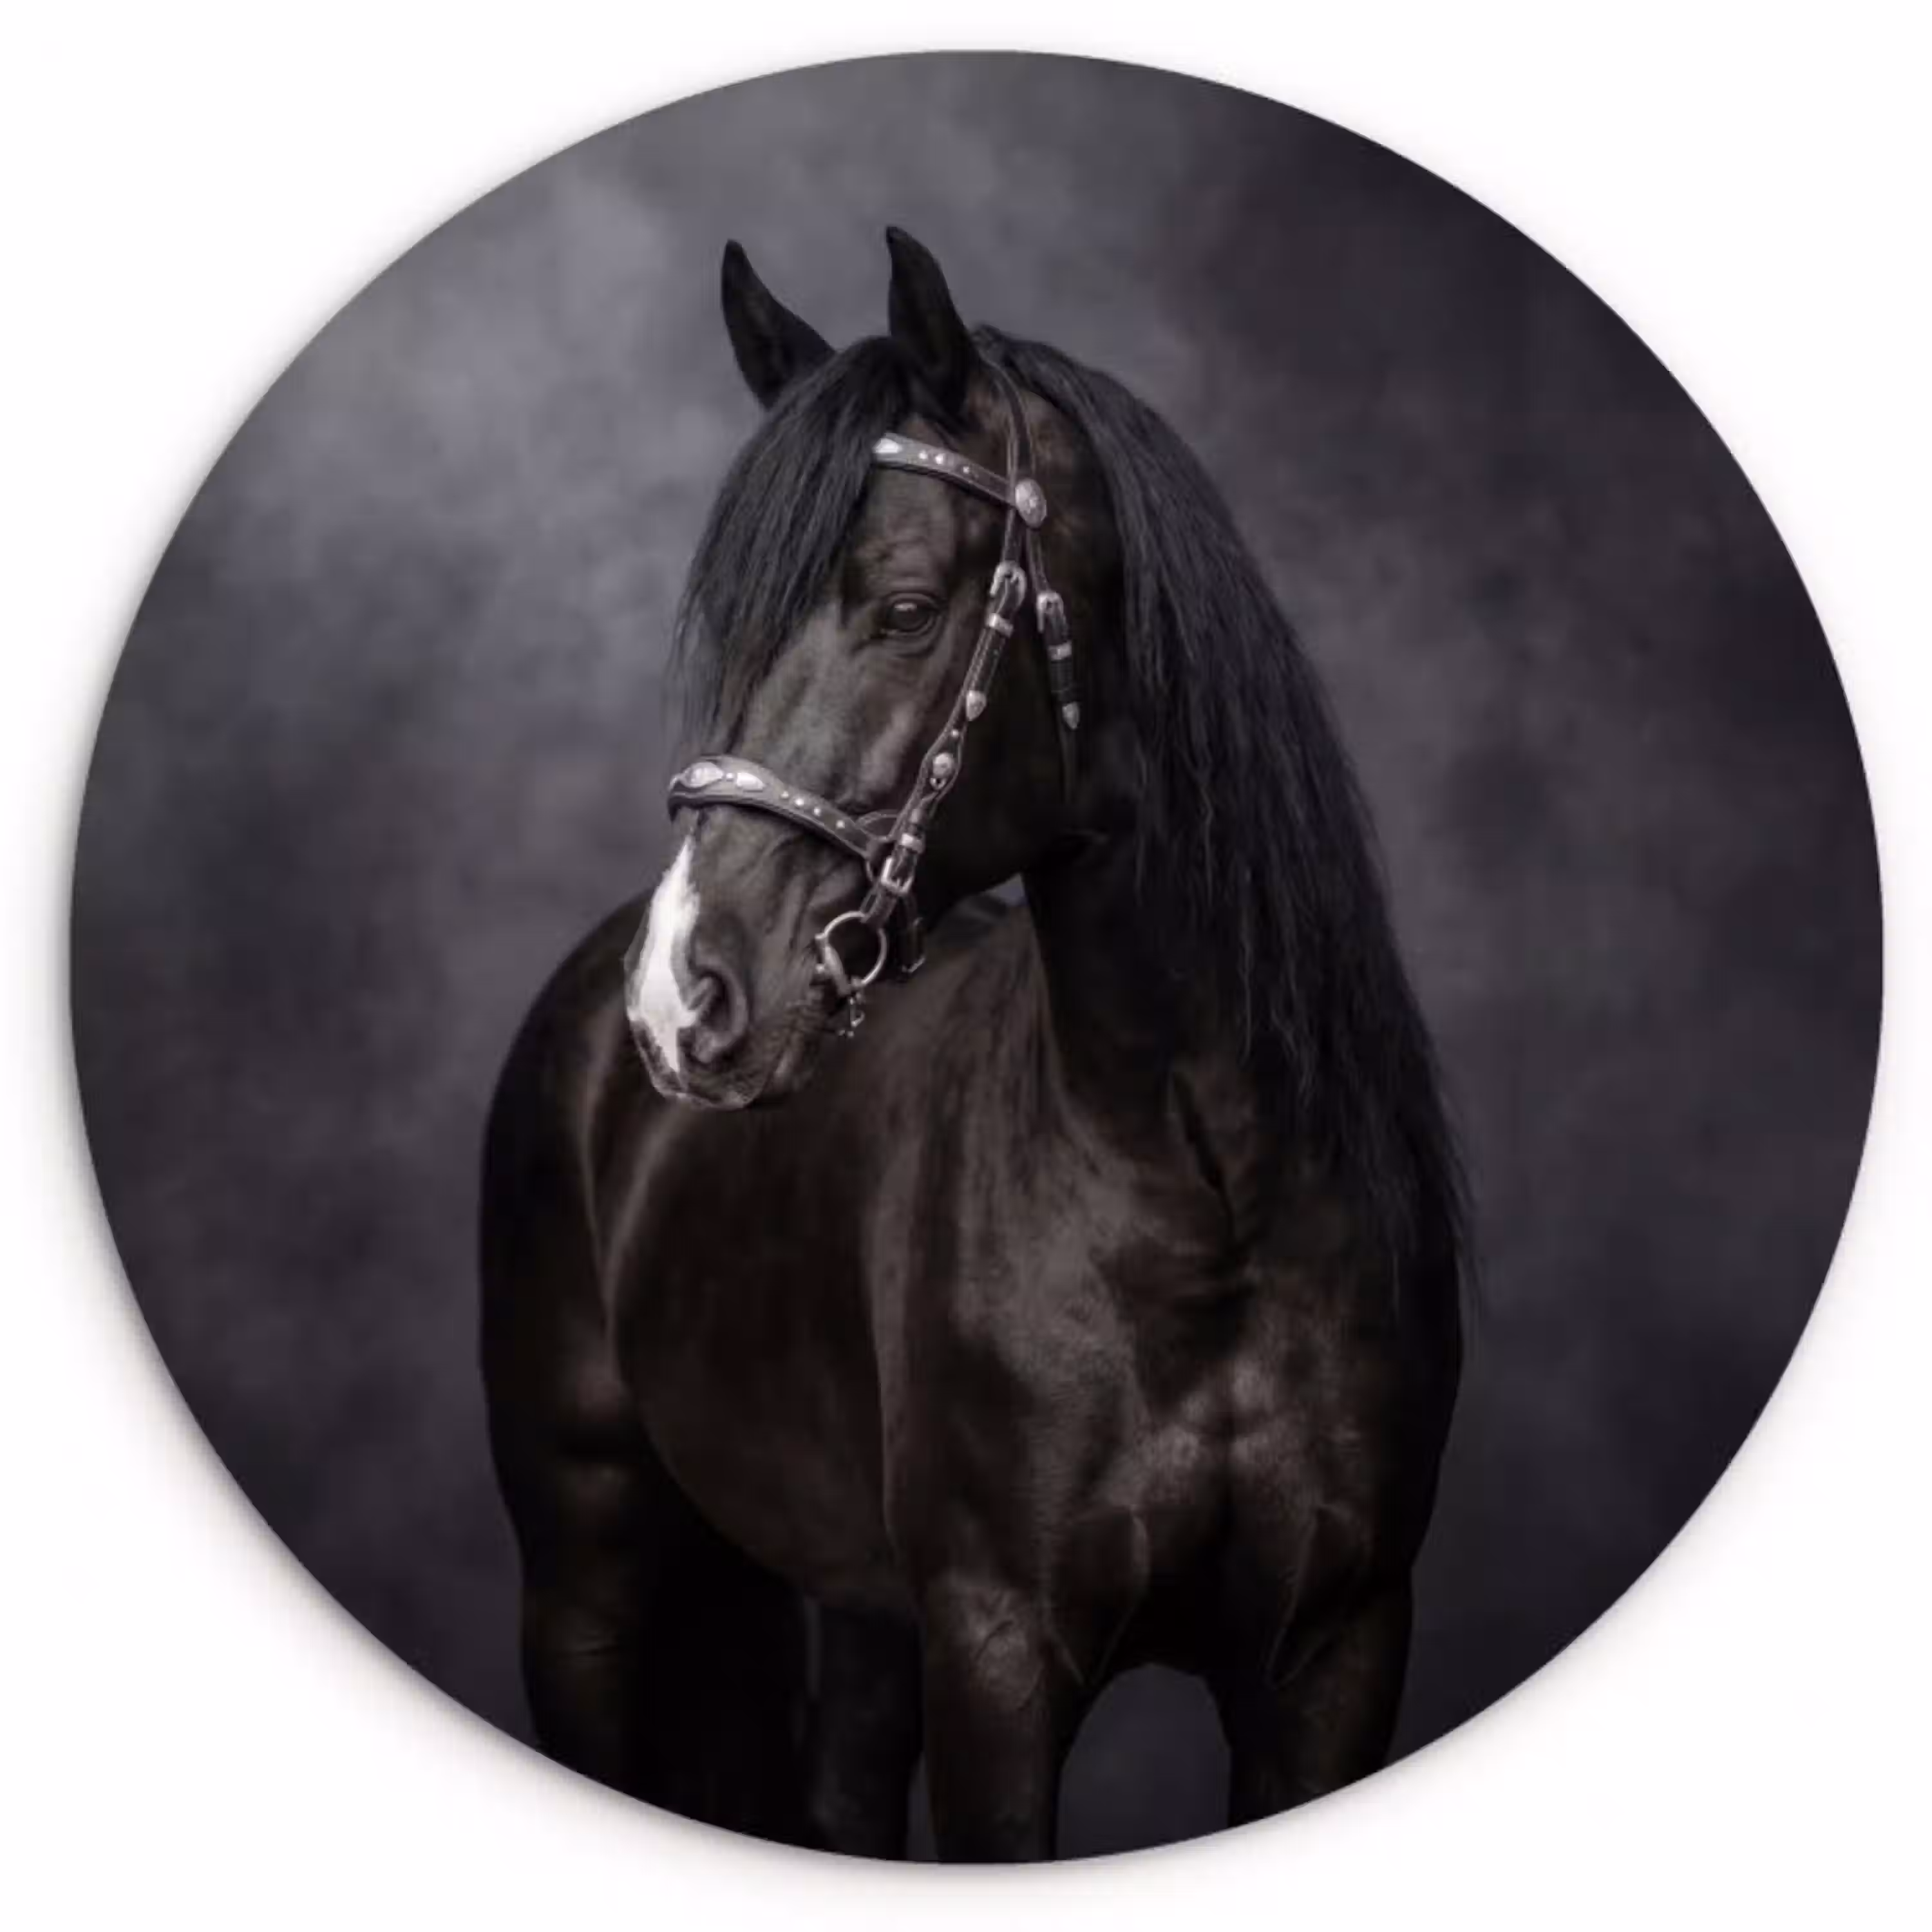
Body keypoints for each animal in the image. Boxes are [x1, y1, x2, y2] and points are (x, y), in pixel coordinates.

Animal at [480, 228, 1465, 1861]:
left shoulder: (1333, 1648)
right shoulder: (999, 1651)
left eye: (898, 606)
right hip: (586, 1581)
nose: (684, 993)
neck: (1206, 1192)